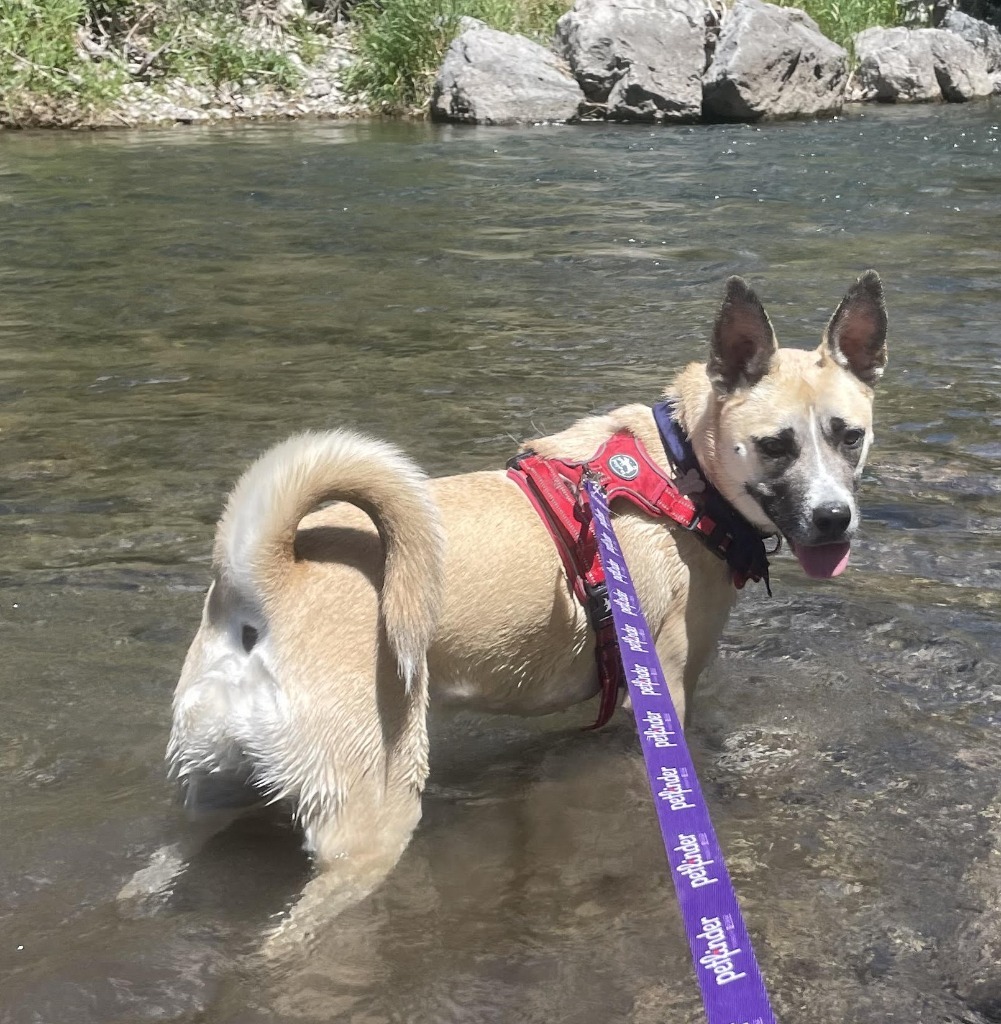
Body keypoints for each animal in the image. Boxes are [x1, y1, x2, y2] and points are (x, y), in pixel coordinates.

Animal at [152, 270, 884, 937]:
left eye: (849, 436)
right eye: (774, 445)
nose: (833, 519)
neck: (682, 470)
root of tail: (265, 571)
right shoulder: (662, 697)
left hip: (211, 775)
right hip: (368, 814)